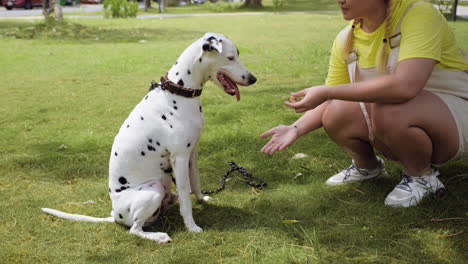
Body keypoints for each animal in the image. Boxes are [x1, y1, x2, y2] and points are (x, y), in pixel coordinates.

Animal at [42, 32, 256, 243]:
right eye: (231, 57)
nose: (253, 78)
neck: (178, 93)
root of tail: (114, 214)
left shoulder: (192, 153)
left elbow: (195, 182)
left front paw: (202, 199)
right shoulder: (179, 158)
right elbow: (185, 196)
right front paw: (191, 226)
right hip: (154, 189)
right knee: (135, 229)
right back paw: (159, 236)